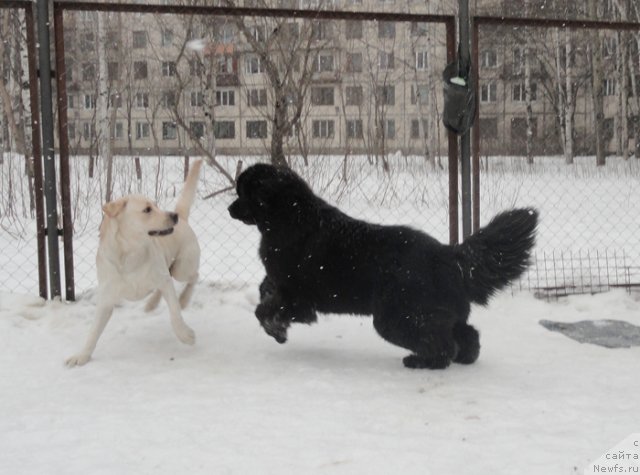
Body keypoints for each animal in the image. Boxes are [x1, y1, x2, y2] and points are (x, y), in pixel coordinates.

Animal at [67, 161, 202, 368]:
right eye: (147, 209)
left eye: (156, 205)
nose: (173, 216)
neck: (130, 255)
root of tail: (184, 218)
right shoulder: (106, 300)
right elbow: (93, 332)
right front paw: (82, 356)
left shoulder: (162, 279)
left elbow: (175, 313)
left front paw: (185, 335)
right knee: (172, 280)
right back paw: (152, 304)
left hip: (183, 267)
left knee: (193, 276)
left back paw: (184, 299)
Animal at [228, 165, 536, 370]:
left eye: (244, 192)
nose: (230, 208)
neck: (288, 217)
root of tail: (448, 254)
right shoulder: (283, 285)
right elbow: (265, 290)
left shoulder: (297, 296)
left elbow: (264, 310)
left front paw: (276, 330)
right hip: (434, 312)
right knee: (467, 334)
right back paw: (464, 358)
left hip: (396, 317)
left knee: (443, 343)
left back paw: (422, 361)